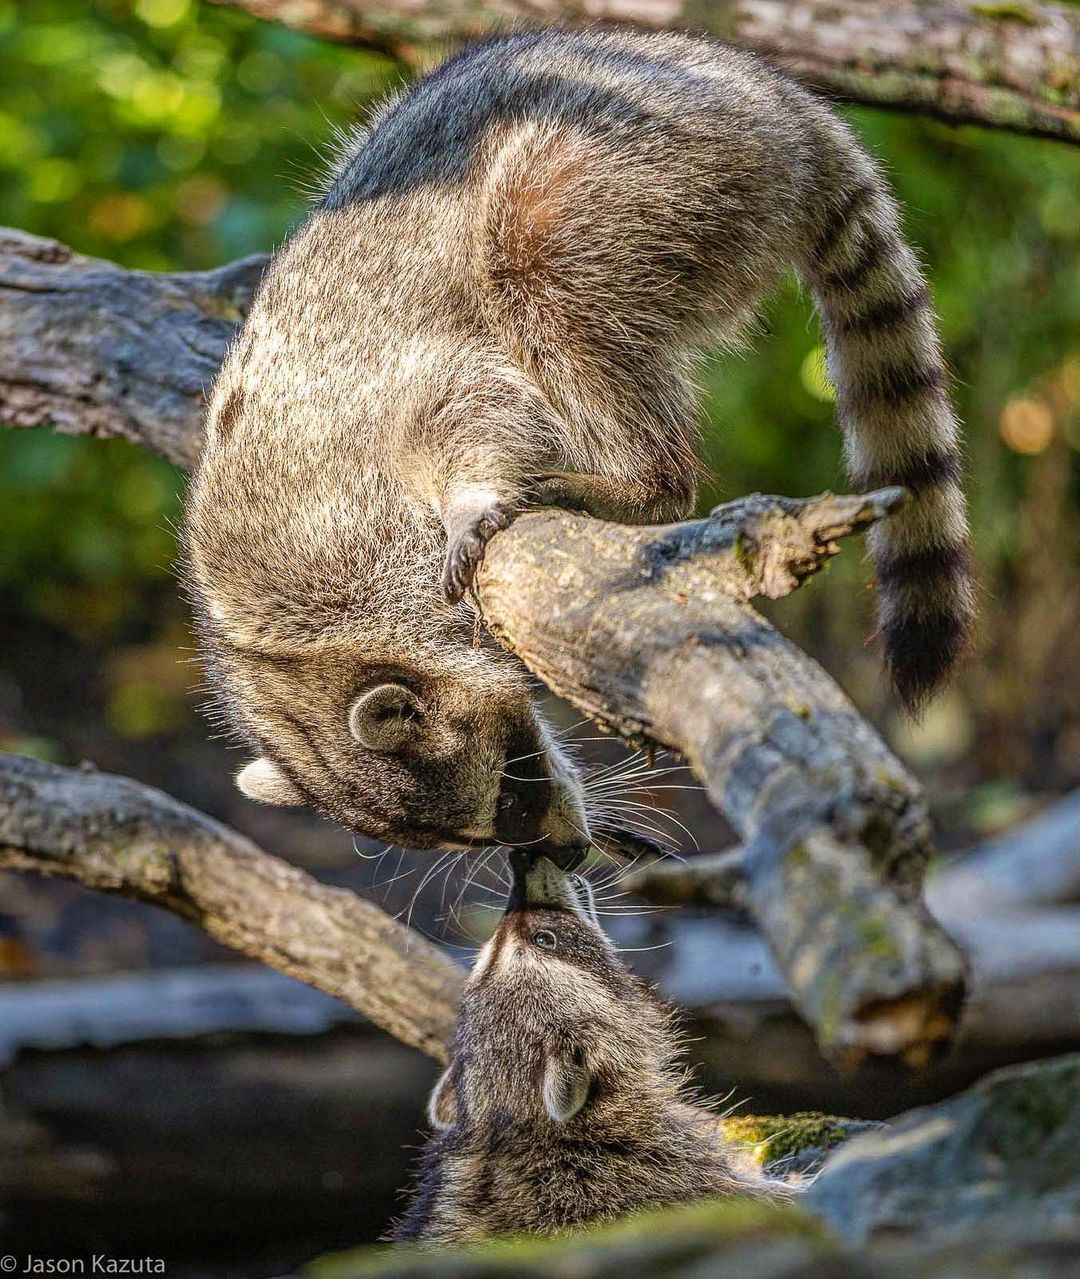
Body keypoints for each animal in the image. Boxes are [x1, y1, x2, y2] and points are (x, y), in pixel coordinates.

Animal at [181, 22, 972, 859]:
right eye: (480, 833)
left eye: (512, 788)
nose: (562, 851)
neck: (296, 647)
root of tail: (779, 99)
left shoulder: (360, 447)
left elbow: (466, 410)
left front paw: (472, 498)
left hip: (636, 165)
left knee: (542, 265)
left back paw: (643, 479)